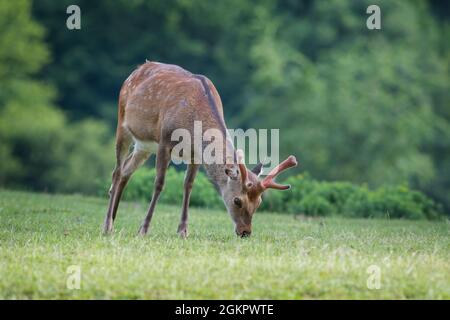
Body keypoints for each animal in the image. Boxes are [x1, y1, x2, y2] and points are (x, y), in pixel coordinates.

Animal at [103, 60, 298, 238]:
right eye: (237, 200)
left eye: (259, 202)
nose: (245, 232)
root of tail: (136, 71)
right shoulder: (165, 141)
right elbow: (159, 184)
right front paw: (143, 229)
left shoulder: (195, 154)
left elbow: (188, 185)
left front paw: (183, 231)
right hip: (123, 123)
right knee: (117, 172)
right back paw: (107, 226)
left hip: (144, 145)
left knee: (126, 171)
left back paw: (114, 218)